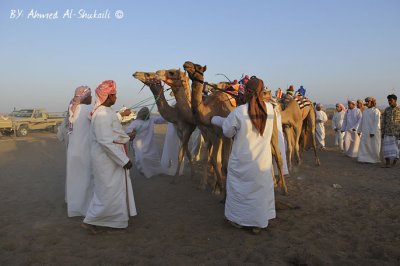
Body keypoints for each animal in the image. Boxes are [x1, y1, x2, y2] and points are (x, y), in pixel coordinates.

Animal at [183, 61, 290, 194]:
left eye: (198, 67)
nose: (186, 64)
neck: (210, 109)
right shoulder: (214, 135)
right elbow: (214, 160)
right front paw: (218, 187)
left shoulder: (225, 135)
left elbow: (223, 163)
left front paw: (222, 190)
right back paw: (272, 183)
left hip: (274, 128)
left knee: (278, 156)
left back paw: (284, 188)